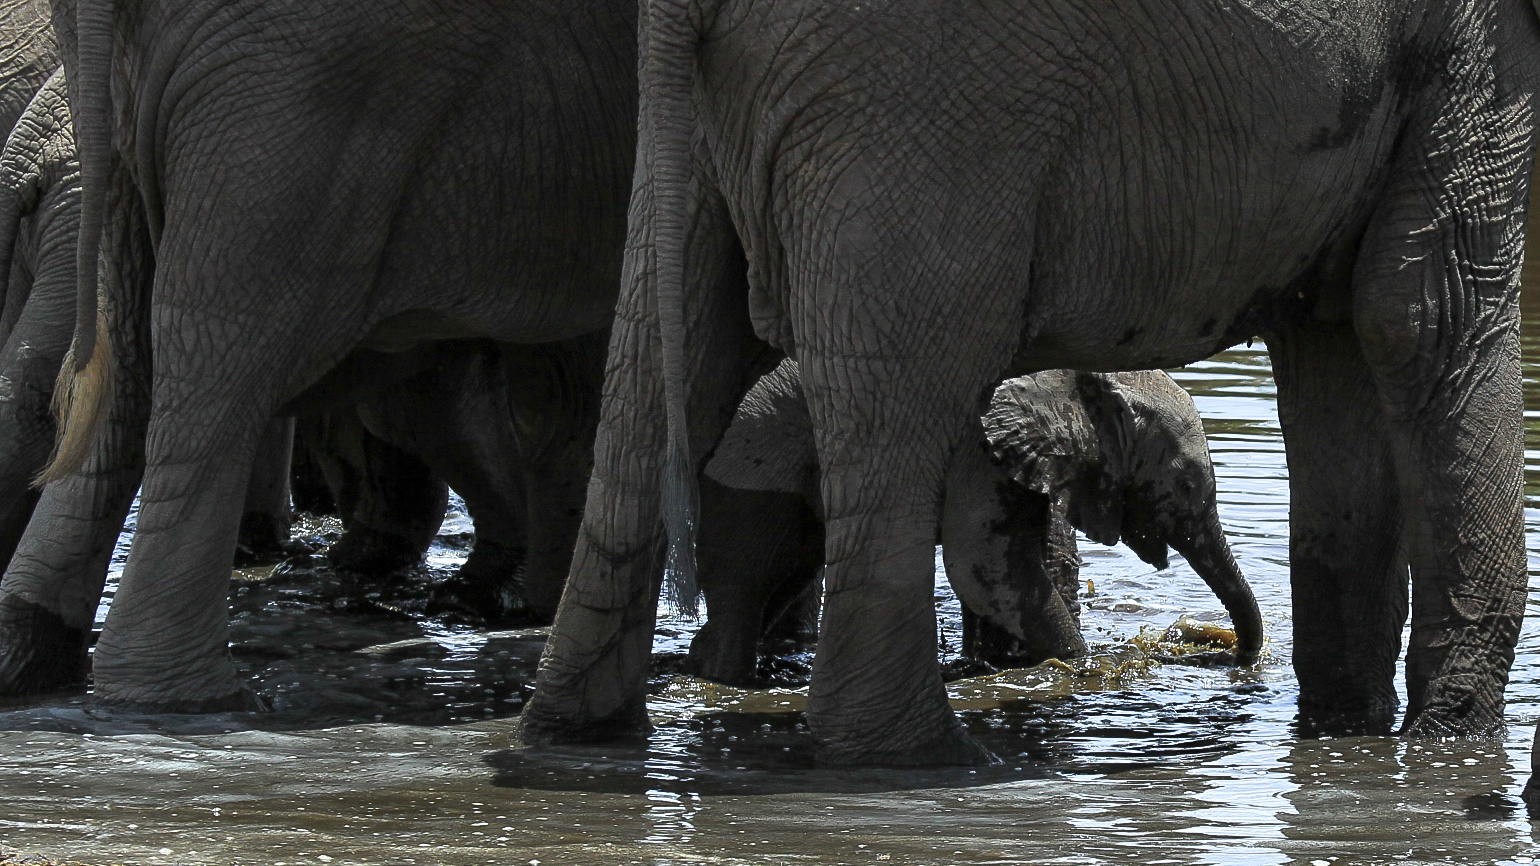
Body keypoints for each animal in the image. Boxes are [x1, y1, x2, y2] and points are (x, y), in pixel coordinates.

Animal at [520, 0, 1540, 758]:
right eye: (1176, 491)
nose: (1222, 657)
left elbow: (1341, 340)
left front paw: (1351, 732)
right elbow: (1425, 307)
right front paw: (1449, 747)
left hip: (706, 134)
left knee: (657, 370)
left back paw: (577, 734)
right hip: (916, 106)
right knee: (896, 403)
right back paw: (914, 757)